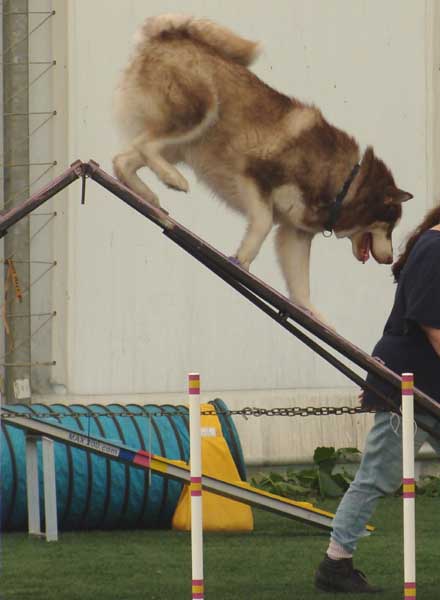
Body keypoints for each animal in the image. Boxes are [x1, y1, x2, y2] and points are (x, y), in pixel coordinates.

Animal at [113, 14, 412, 316]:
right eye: (390, 226)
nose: (389, 260)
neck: (345, 185)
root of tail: (168, 34)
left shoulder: (295, 233)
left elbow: (301, 288)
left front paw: (313, 315)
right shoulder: (254, 175)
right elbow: (263, 223)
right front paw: (242, 260)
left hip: (182, 146)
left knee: (124, 159)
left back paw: (146, 193)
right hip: (200, 113)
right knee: (147, 145)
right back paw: (171, 178)